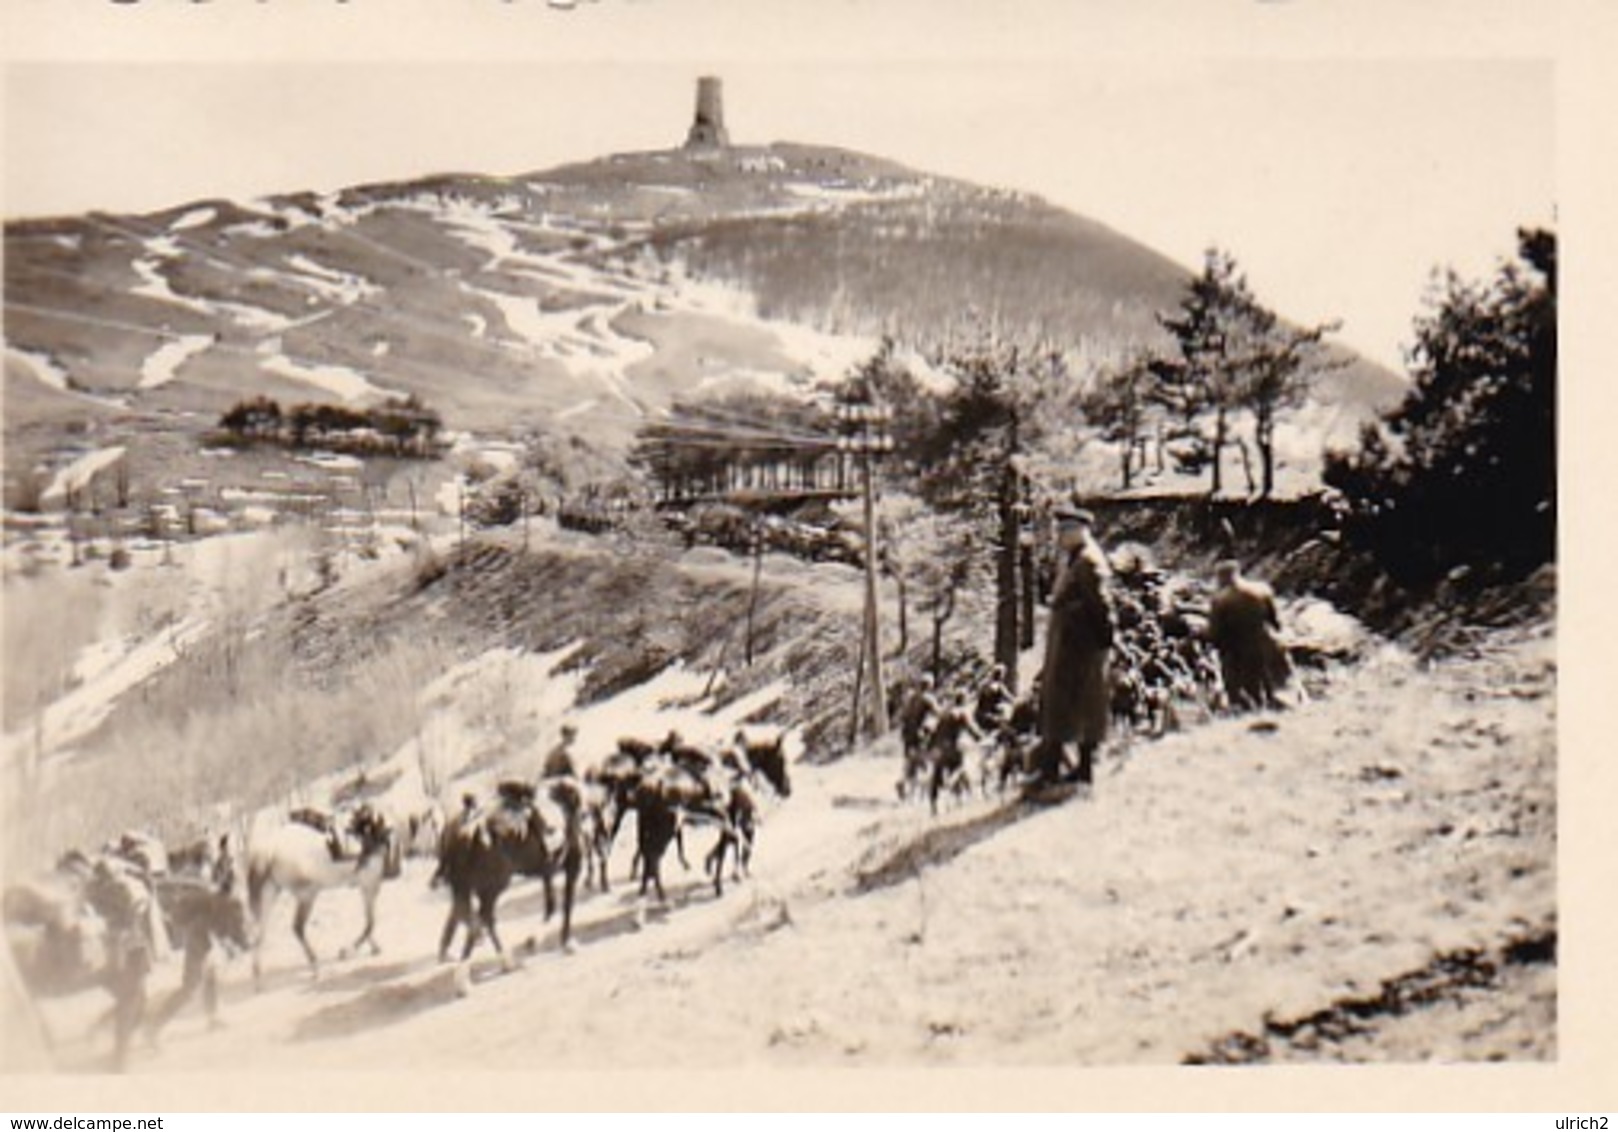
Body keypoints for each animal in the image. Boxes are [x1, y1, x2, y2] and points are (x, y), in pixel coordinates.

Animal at [242, 805, 401, 989]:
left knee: (260, 932)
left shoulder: (366, 887)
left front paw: (374, 947)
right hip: (308, 895)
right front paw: (346, 951)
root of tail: (268, 851)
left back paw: (258, 977)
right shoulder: (368, 887)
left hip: (271, 893)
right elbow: (370, 923)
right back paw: (315, 968)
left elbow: (369, 921)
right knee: (297, 928)